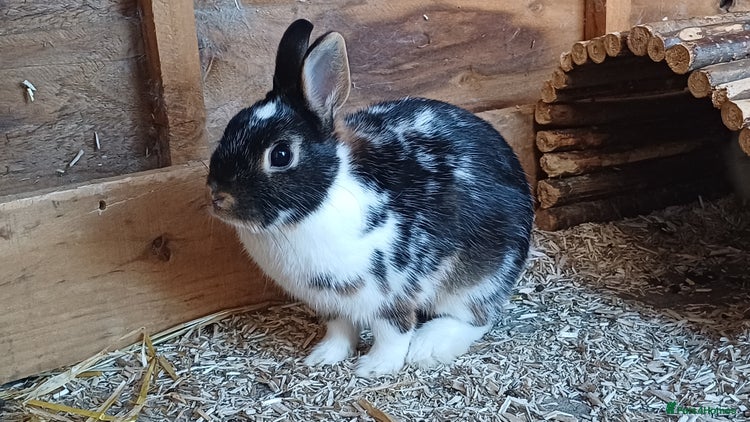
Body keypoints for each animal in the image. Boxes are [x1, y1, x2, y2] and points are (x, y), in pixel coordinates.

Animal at [207, 19, 534, 377]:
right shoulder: (331, 303)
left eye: (280, 155)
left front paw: (374, 367)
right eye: (231, 126)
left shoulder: (392, 294)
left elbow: (393, 333)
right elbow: (339, 330)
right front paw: (323, 357)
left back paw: (427, 346)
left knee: (476, 318)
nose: (218, 197)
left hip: (479, 280)